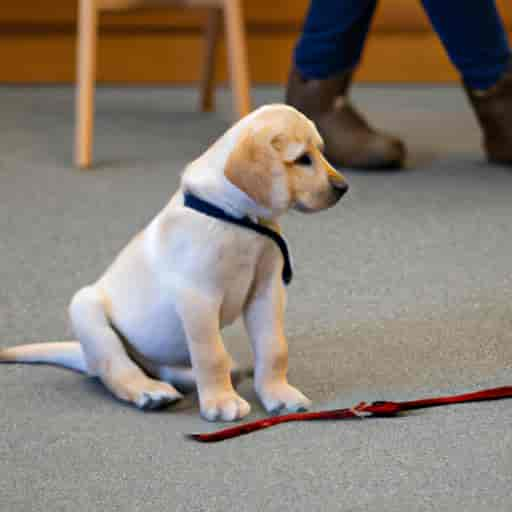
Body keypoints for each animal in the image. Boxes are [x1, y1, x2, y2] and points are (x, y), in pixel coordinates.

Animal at [1, 104, 348, 420]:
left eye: (320, 152)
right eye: (302, 159)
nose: (343, 187)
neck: (237, 218)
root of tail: (85, 356)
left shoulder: (267, 291)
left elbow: (274, 347)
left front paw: (277, 393)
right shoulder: (198, 298)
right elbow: (211, 355)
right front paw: (222, 402)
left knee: (169, 368)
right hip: (86, 310)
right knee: (117, 369)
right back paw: (150, 392)